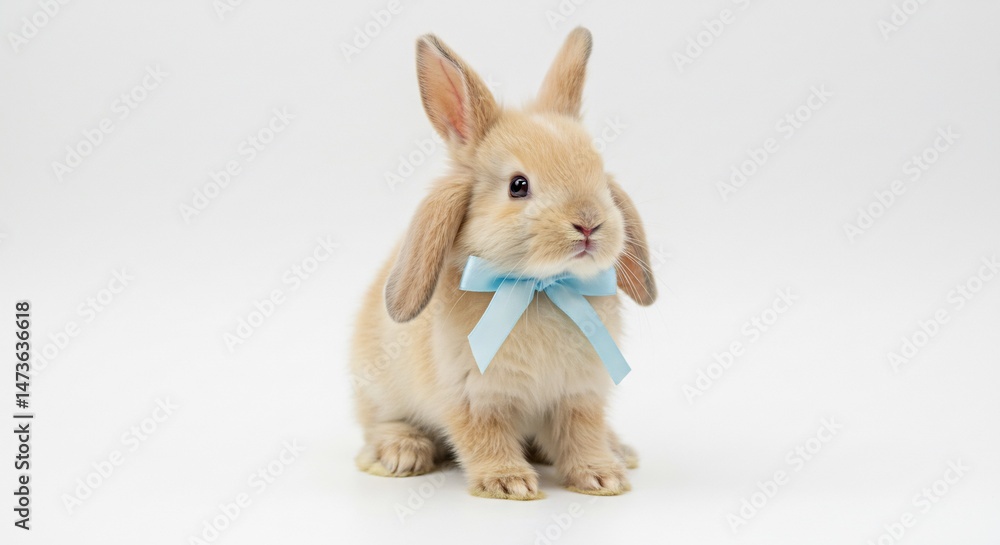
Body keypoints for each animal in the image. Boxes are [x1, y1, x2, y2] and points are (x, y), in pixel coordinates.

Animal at [350, 27, 657, 500]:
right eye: (518, 186)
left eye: (599, 175)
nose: (589, 223)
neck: (541, 287)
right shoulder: (473, 397)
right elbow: (485, 437)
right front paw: (508, 483)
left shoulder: (579, 396)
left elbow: (583, 435)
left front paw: (602, 477)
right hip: (380, 389)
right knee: (381, 423)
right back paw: (401, 453)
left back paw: (619, 450)